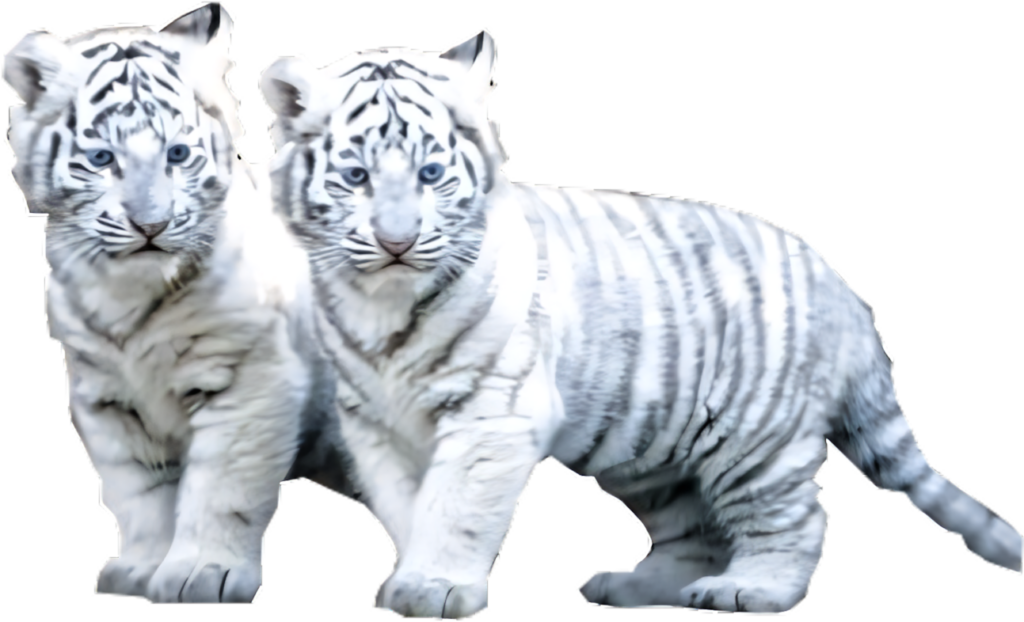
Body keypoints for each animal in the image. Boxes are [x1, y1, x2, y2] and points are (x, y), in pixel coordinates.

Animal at [3, 2, 352, 603]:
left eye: (178, 154)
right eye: (102, 158)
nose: (151, 226)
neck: (128, 295)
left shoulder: (251, 377)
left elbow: (220, 487)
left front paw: (203, 573)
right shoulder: (108, 398)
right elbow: (140, 494)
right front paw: (143, 569)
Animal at [258, 30, 1024, 617]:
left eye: (431, 174)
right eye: (356, 177)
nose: (397, 242)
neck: (380, 305)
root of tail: (843, 289)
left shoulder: (492, 414)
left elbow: (458, 505)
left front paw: (435, 586)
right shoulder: (375, 424)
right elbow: (406, 505)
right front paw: (409, 575)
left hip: (758, 438)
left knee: (796, 520)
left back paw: (750, 590)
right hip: (654, 450)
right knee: (693, 530)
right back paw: (636, 586)